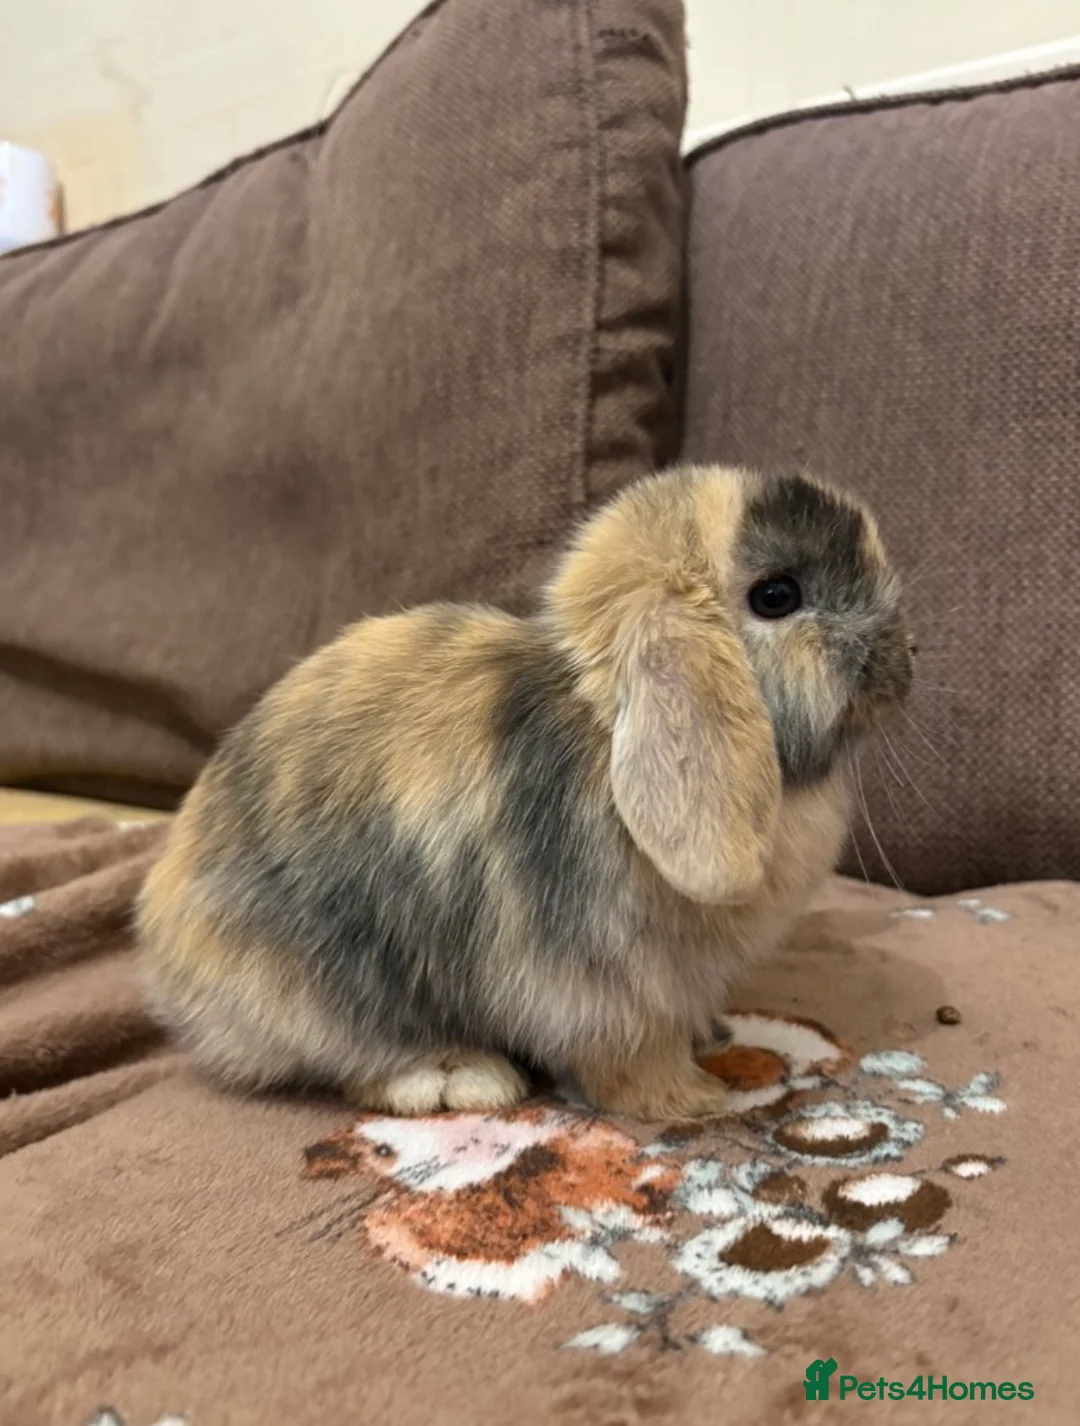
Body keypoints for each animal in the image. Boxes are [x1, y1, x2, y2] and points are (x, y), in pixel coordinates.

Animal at [137, 464, 915, 1122]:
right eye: (778, 596)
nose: (909, 656)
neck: (605, 725)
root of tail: (164, 951)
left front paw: (713, 1039)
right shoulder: (608, 987)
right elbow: (630, 1056)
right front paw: (693, 1099)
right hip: (328, 988)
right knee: (349, 1059)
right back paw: (460, 1078)